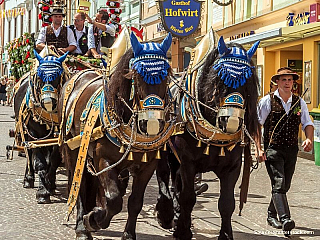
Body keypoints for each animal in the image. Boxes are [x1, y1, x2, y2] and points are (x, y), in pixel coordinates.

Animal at [13, 47, 69, 203]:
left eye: (58, 77)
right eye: (39, 78)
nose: (48, 102)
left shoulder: (58, 137)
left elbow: (54, 161)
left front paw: (50, 184)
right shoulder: (34, 134)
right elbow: (39, 162)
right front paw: (43, 192)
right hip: (24, 131)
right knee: (28, 152)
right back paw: (28, 178)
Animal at [59, 30, 175, 240]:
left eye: (167, 76)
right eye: (137, 76)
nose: (152, 123)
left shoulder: (147, 165)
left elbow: (134, 202)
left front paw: (127, 234)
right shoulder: (103, 160)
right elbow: (114, 200)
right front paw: (93, 220)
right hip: (74, 150)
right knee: (78, 185)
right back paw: (82, 227)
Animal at [156, 32, 262, 240]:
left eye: (248, 84)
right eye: (219, 79)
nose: (232, 121)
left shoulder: (232, 167)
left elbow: (227, 204)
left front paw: (226, 234)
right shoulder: (188, 162)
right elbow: (188, 197)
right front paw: (183, 230)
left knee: (175, 181)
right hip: (164, 149)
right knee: (163, 176)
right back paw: (166, 214)